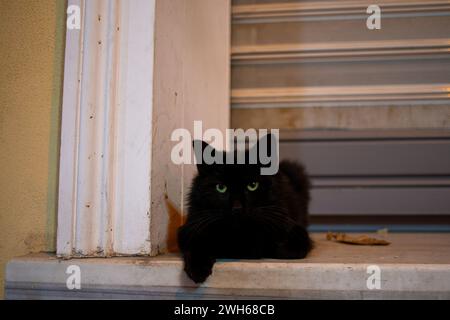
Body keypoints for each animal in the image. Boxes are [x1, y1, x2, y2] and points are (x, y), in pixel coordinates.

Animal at [177, 135, 312, 282]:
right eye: (221, 187)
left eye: (252, 185)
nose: (237, 208)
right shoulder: (189, 228)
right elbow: (197, 243)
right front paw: (197, 268)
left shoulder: (295, 231)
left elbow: (285, 248)